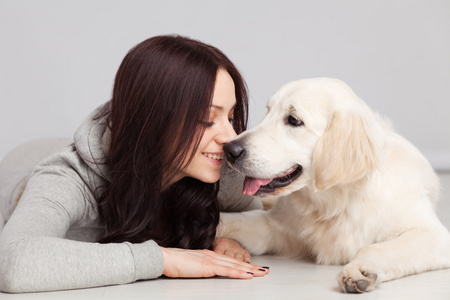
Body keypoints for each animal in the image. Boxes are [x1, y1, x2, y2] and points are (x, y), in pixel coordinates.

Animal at [218, 77, 450, 292]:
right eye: (268, 112)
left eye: (293, 120)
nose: (229, 150)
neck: (334, 202)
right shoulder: (273, 227)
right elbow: (233, 220)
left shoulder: (434, 236)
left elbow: (374, 248)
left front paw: (359, 270)